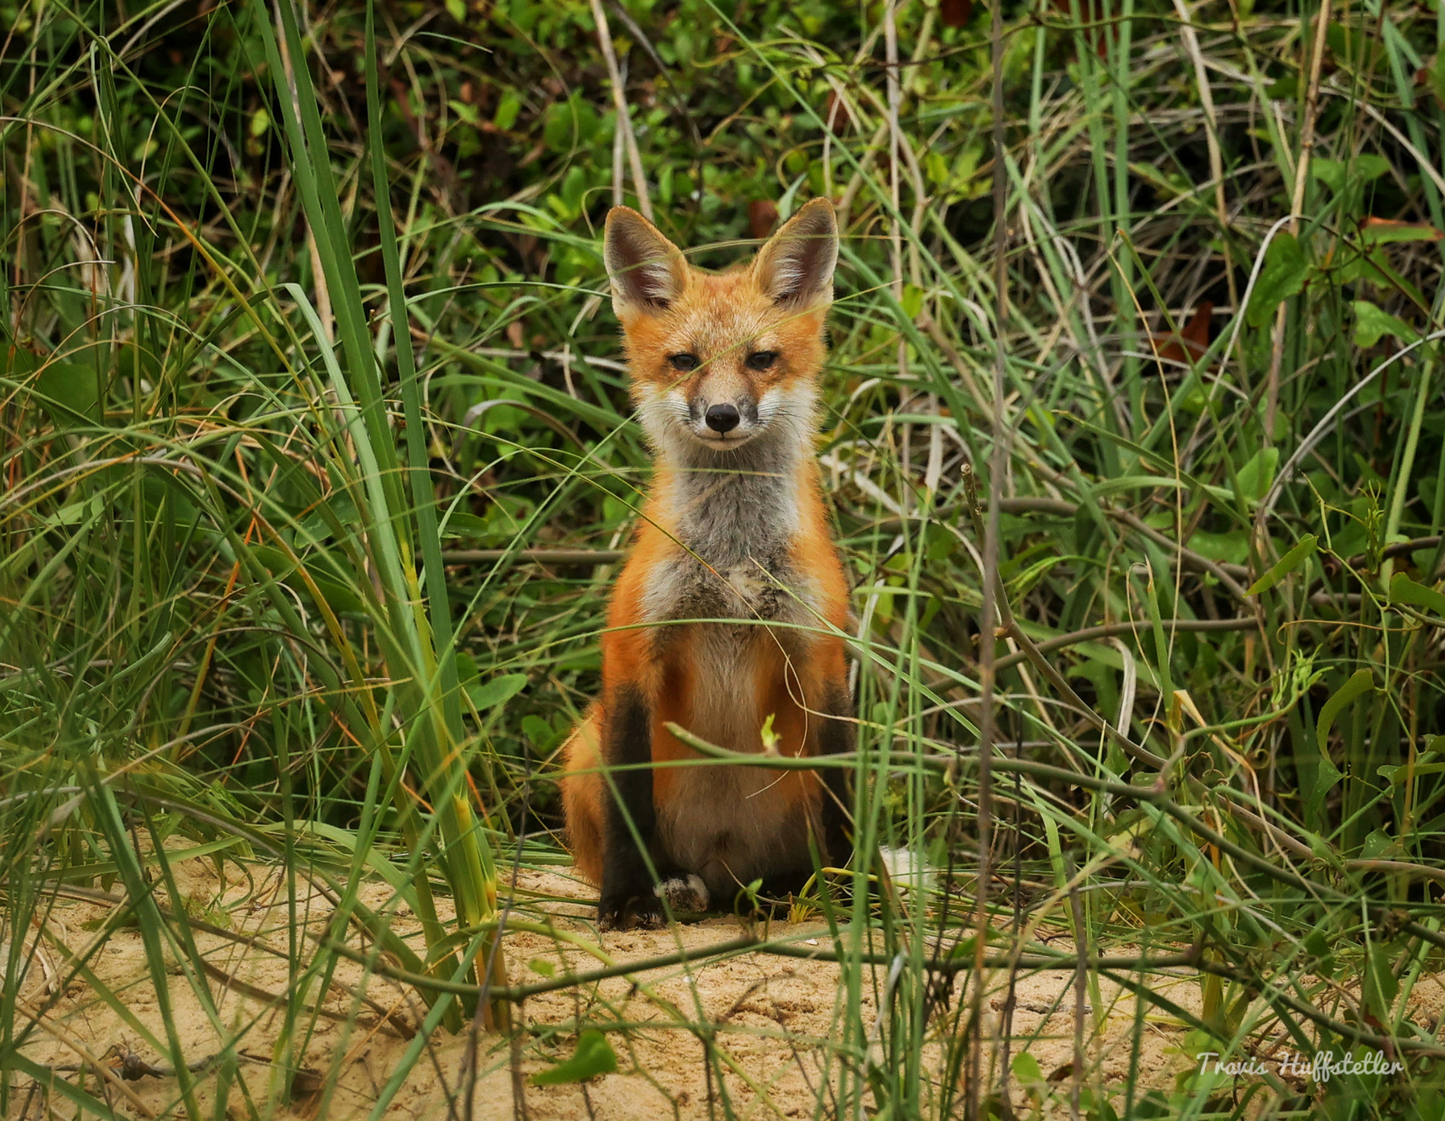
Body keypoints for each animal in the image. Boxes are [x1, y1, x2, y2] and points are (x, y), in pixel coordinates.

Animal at [557, 199, 849, 930]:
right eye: (684, 361)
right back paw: (669, 886)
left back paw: (792, 889)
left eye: (762, 359)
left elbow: (841, 795)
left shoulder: (820, 653)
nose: (721, 415)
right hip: (583, 744)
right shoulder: (633, 648)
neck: (731, 559)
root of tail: (725, 874)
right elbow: (629, 801)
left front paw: (857, 889)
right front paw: (625, 899)